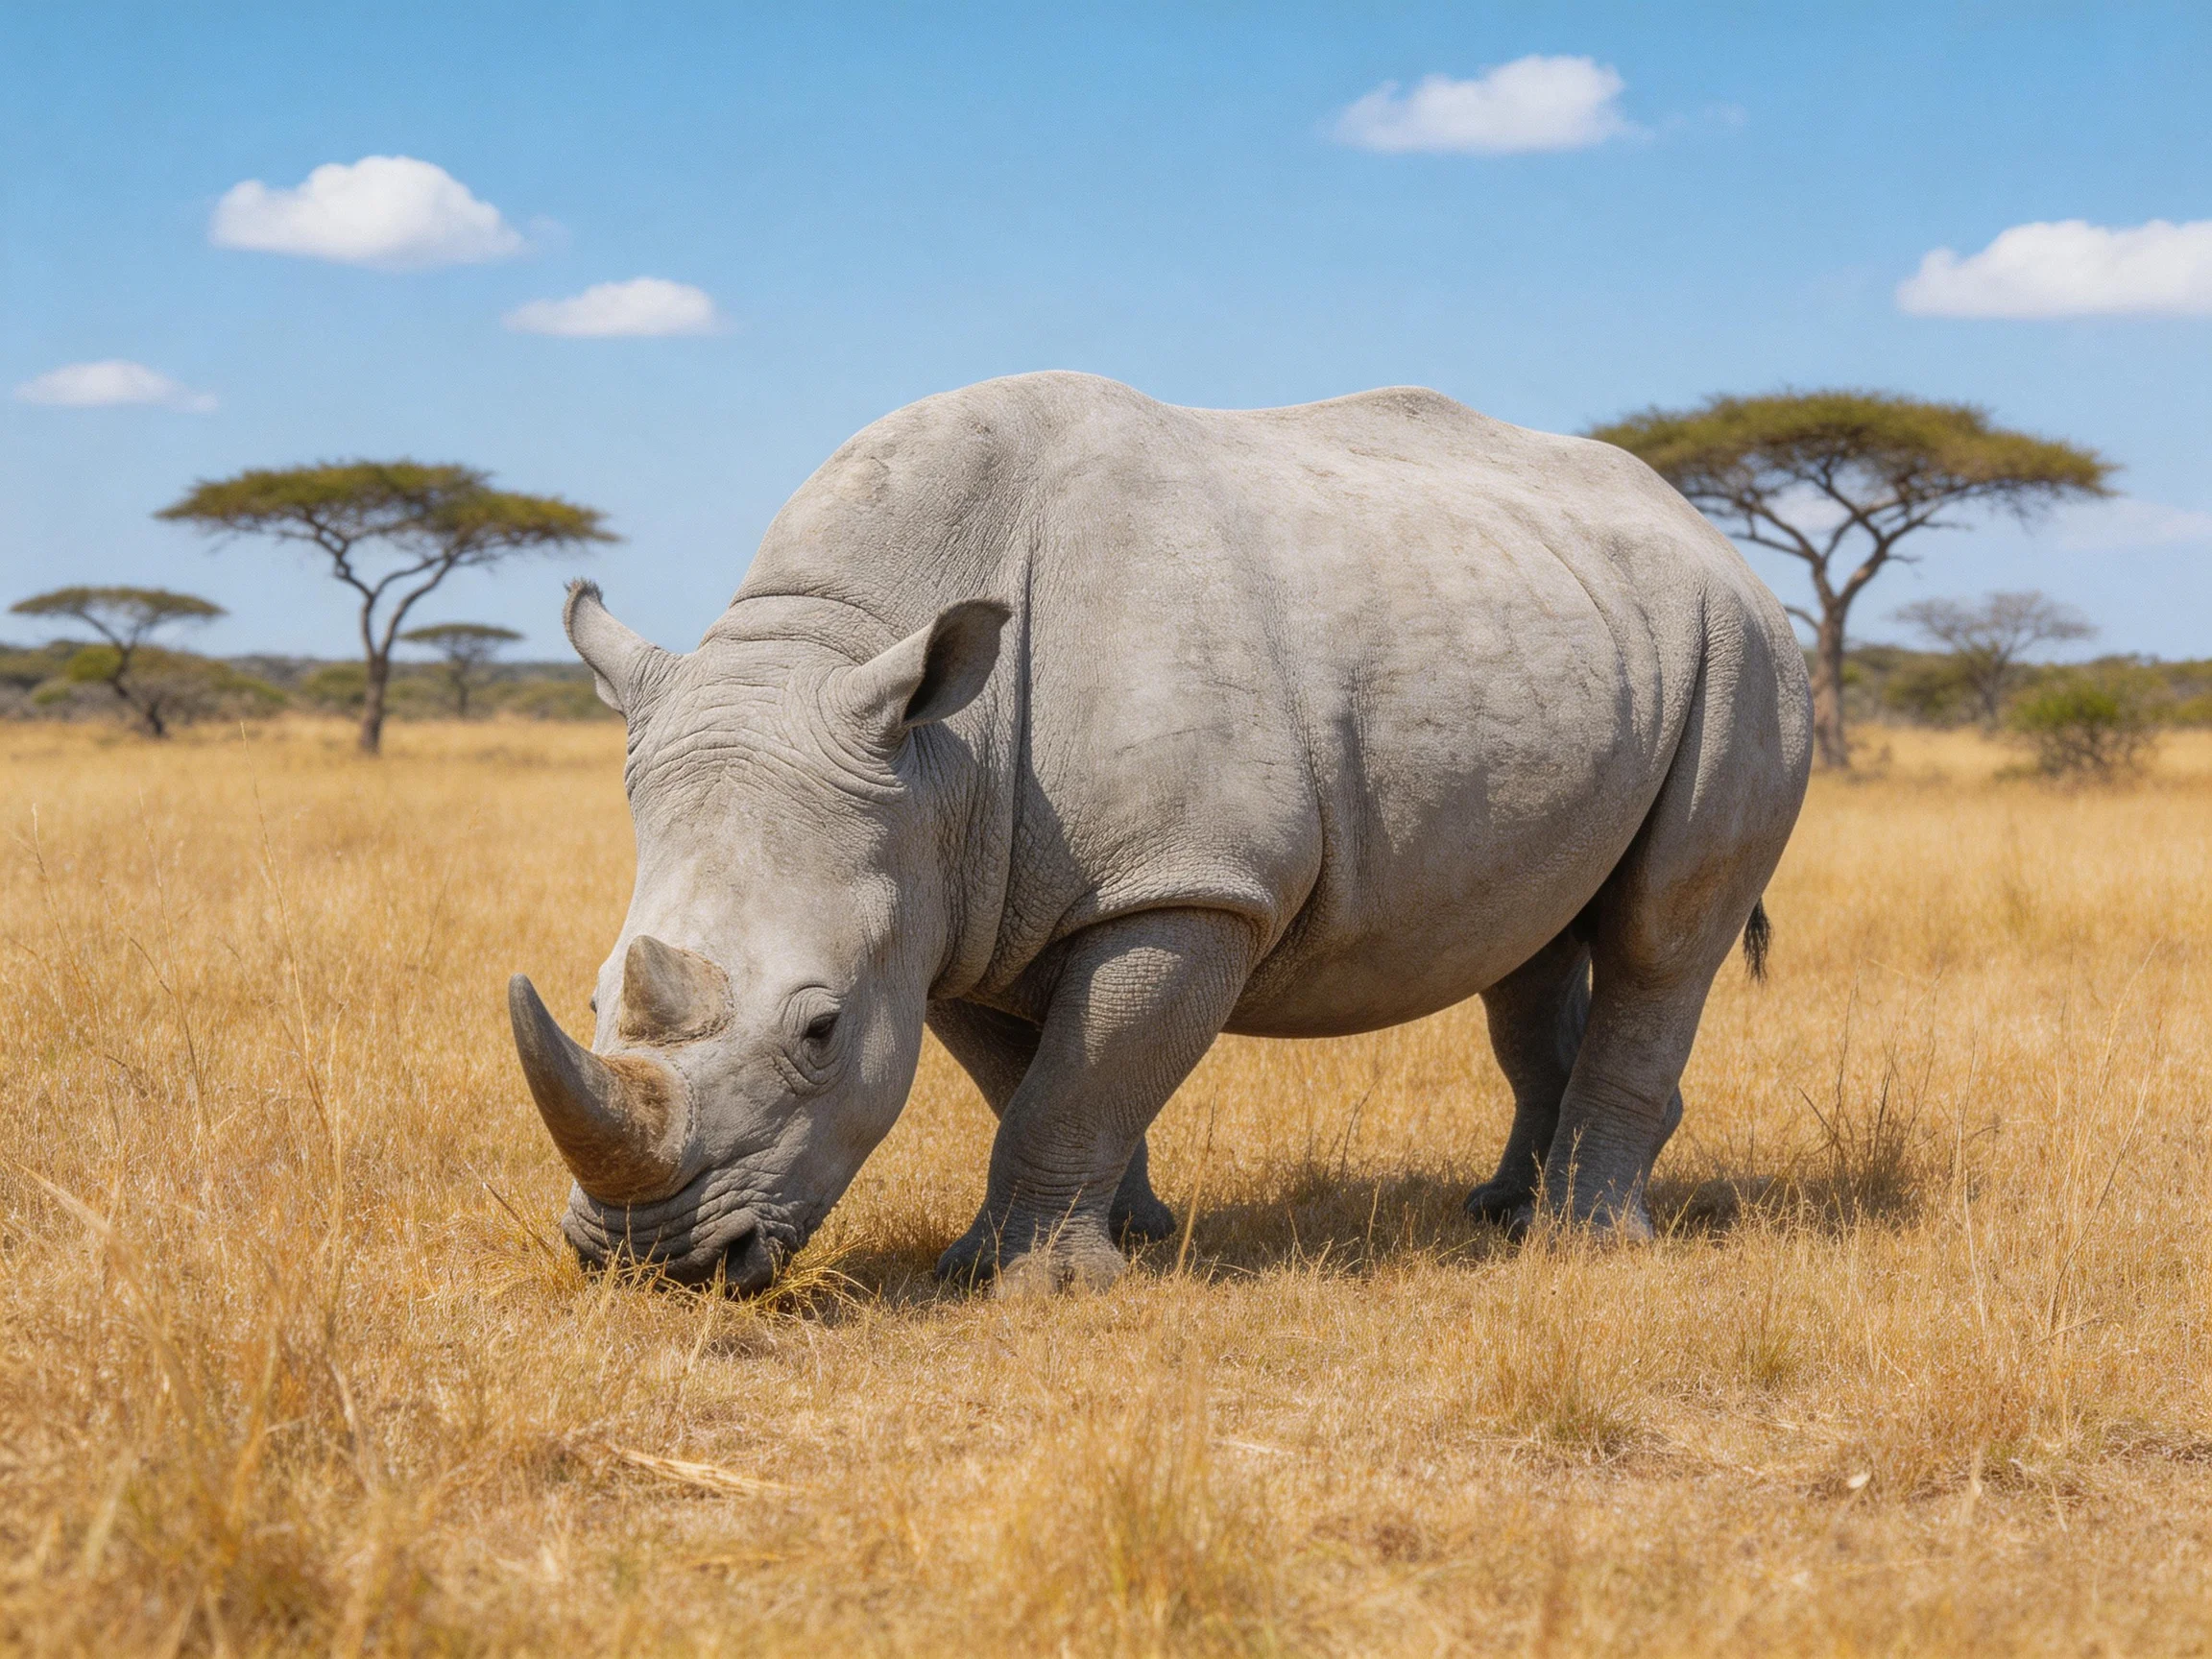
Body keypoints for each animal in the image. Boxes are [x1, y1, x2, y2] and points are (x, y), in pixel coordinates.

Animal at [508, 371, 1812, 1293]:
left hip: (1747, 653)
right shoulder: (958, 899)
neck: (931, 749)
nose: (649, 1262)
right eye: (591, 1001)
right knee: (1527, 946)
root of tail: (1709, 531)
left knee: (1661, 940)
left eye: (820, 1032)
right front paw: (1123, 1239)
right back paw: (1500, 1215)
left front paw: (1032, 1284)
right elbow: (1036, 1077)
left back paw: (1581, 1244)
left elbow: (1079, 1074)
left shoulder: (1187, 883)